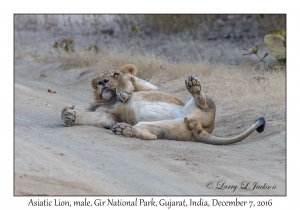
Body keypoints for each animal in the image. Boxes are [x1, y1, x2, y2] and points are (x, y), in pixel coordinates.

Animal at [61, 63, 264, 144]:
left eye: (114, 74)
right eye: (99, 82)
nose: (103, 83)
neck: (111, 99)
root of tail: (201, 129)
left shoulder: (148, 86)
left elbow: (128, 77)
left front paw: (123, 91)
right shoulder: (109, 116)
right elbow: (92, 117)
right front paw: (68, 114)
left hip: (202, 106)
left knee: (205, 102)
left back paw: (194, 85)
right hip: (165, 127)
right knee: (149, 135)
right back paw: (124, 130)